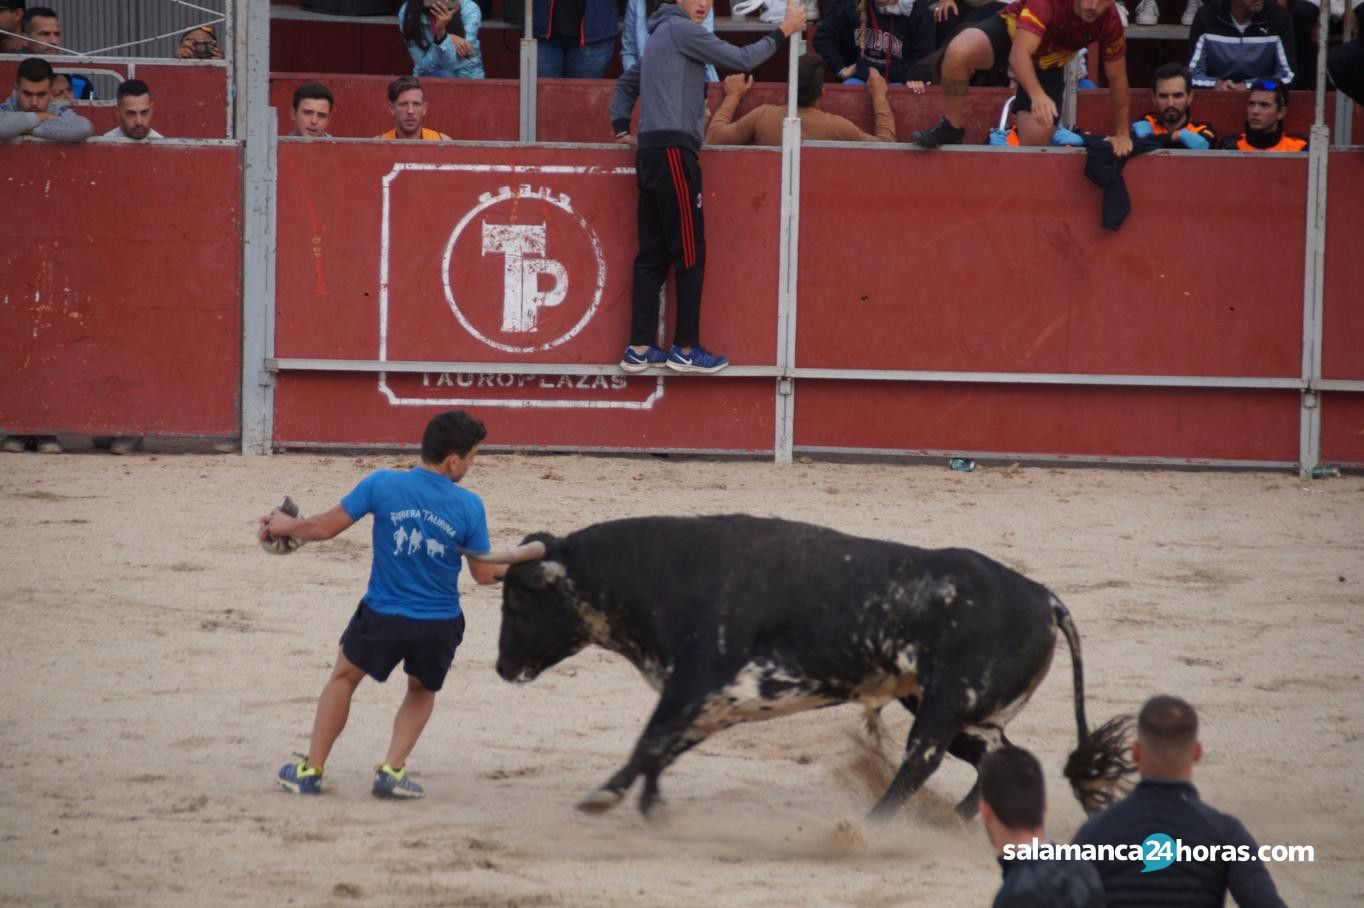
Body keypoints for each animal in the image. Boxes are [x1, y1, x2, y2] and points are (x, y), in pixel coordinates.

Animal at [474, 512, 1134, 818]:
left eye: (518, 599)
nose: (503, 667)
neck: (667, 574)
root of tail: (1043, 597)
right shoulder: (717, 703)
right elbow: (661, 750)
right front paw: (650, 806)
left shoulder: (695, 685)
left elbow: (649, 742)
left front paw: (605, 797)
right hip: (950, 708)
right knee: (993, 756)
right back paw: (957, 819)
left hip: (946, 705)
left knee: (920, 762)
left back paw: (874, 825)